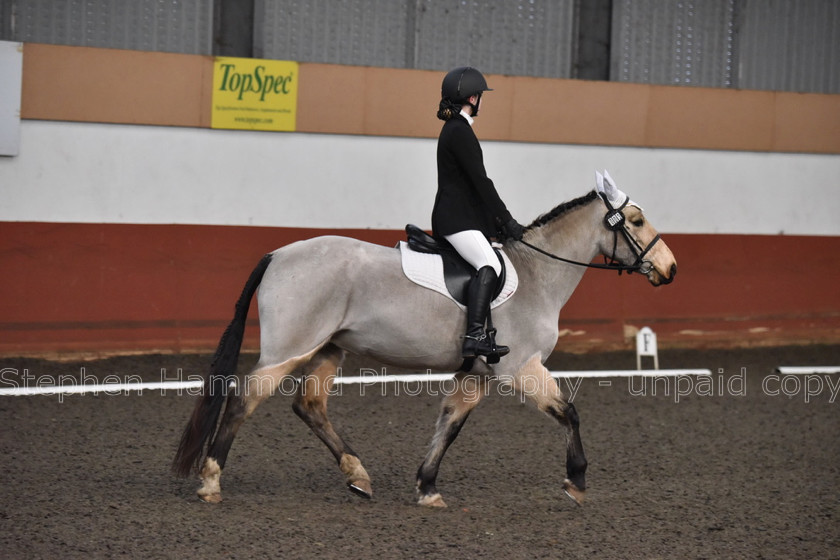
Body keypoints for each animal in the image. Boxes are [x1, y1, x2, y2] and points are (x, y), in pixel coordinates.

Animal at [171, 171, 676, 508]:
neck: (537, 275)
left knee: (309, 405)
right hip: (289, 348)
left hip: (329, 347)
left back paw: (358, 475)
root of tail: (278, 253)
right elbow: (568, 412)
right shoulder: (522, 367)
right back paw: (211, 482)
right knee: (244, 398)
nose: (670, 269)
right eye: (635, 220)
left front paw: (428, 487)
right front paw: (576, 482)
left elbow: (449, 424)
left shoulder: (477, 374)